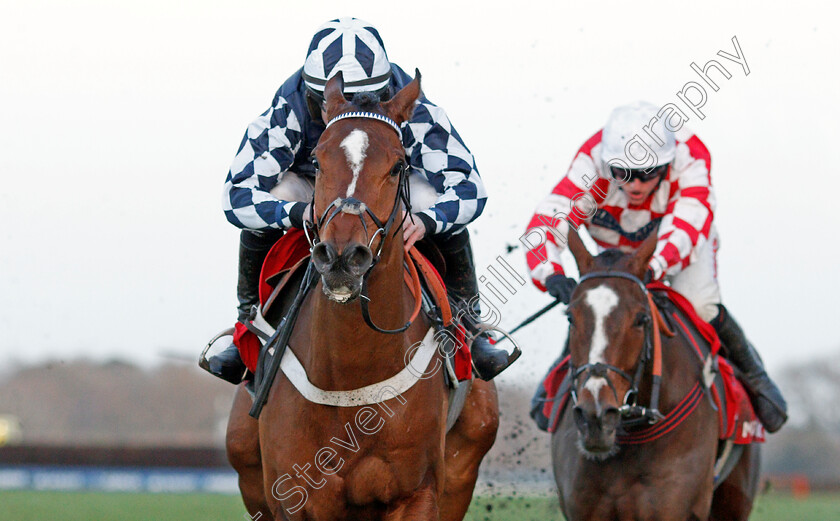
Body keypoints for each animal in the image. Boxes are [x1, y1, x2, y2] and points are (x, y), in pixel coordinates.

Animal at [223, 70, 498, 520]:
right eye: (318, 160)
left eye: (398, 164)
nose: (341, 256)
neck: (351, 376)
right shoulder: (293, 498)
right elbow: (241, 188)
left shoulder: (418, 493)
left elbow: (465, 182)